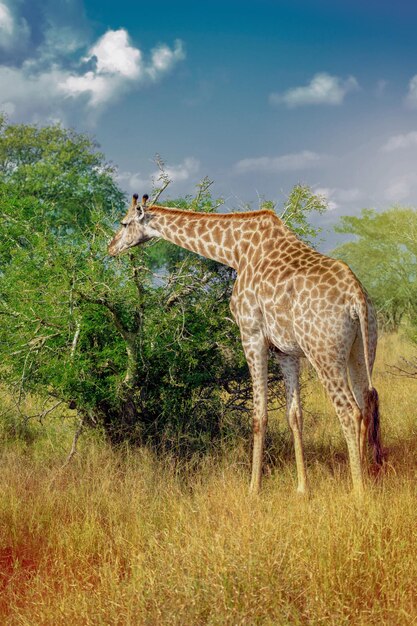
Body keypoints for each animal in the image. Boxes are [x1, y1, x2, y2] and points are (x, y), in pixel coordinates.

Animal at [108, 193, 384, 494]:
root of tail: (356, 296)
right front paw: (302, 488)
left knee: (349, 410)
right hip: (361, 347)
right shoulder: (285, 350)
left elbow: (259, 415)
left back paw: (358, 492)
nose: (110, 248)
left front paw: (253, 489)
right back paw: (367, 476)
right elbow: (294, 415)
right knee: (367, 401)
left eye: (123, 223)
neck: (236, 251)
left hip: (323, 352)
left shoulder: (251, 334)